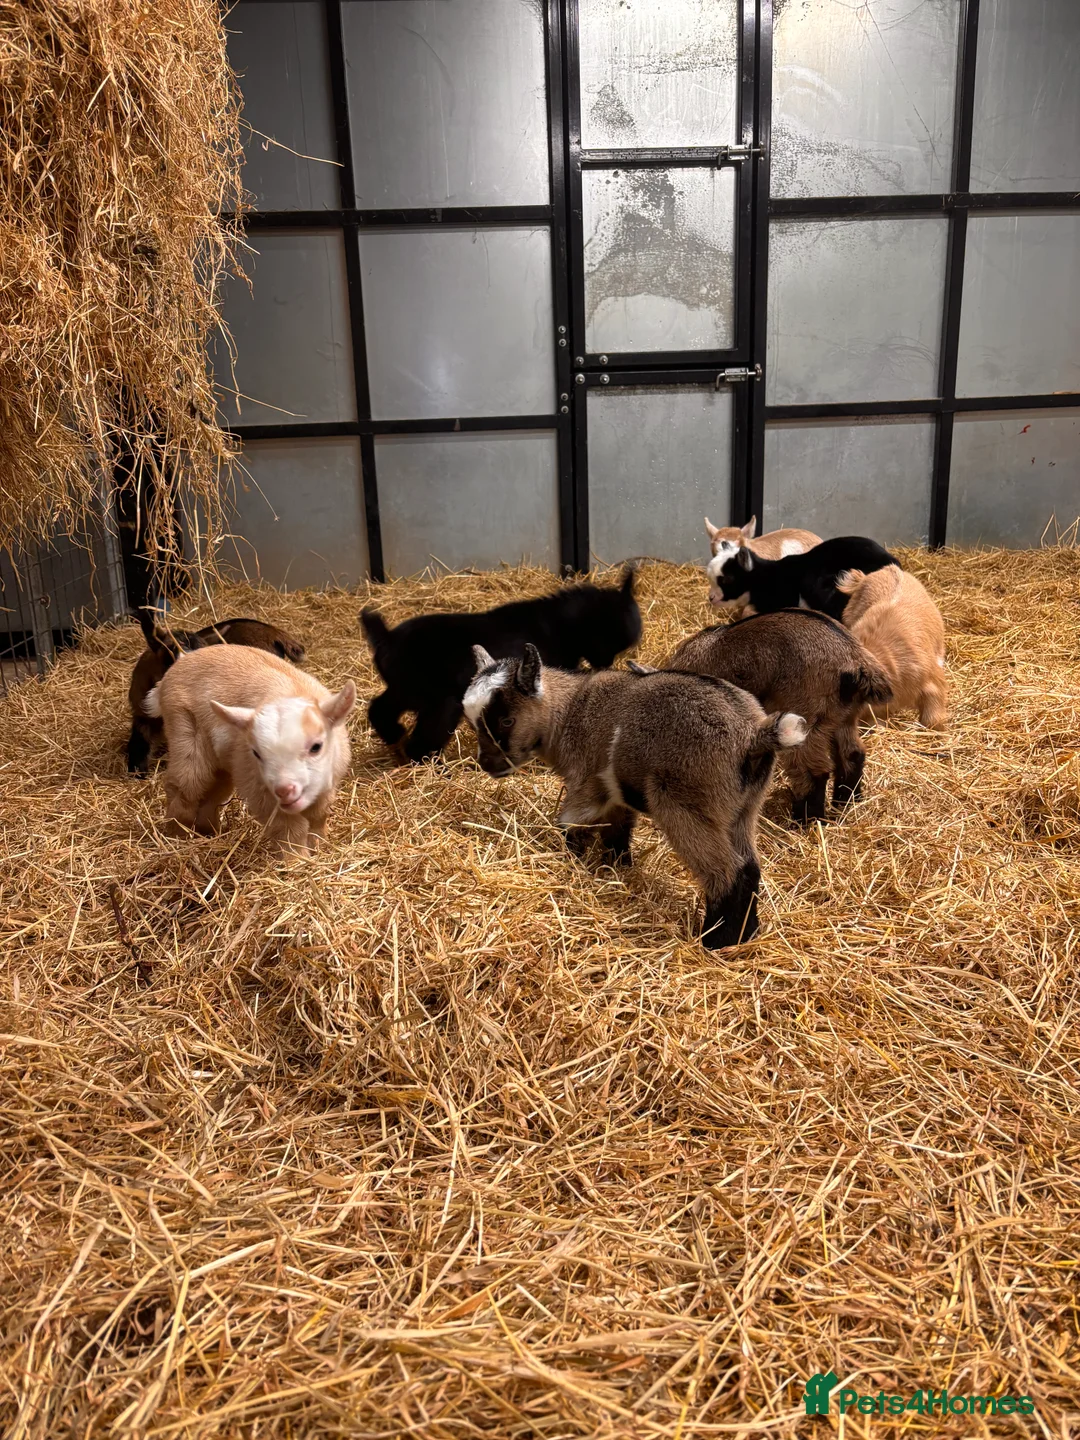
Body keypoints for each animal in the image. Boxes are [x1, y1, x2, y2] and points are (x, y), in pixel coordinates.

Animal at [144, 645, 355, 851]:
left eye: (316, 747)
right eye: (256, 754)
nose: (284, 790)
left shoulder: (327, 786)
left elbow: (319, 817)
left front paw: (318, 847)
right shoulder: (259, 790)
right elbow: (289, 829)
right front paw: (296, 859)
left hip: (223, 763)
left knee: (212, 794)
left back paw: (210, 832)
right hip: (185, 730)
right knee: (183, 788)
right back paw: (175, 837)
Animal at [360, 567, 641, 764]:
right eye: (609, 639)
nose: (606, 665)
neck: (560, 624)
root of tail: (386, 638)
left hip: (405, 693)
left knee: (379, 710)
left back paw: (394, 738)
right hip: (439, 704)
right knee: (420, 742)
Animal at [463, 642, 807, 948]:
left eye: (506, 720)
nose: (487, 763)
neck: (569, 711)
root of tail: (753, 734)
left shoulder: (586, 784)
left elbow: (571, 825)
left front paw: (574, 861)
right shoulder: (615, 794)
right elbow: (618, 832)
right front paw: (617, 869)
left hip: (685, 805)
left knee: (727, 871)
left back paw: (715, 941)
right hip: (741, 809)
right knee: (749, 867)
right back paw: (745, 934)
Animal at [654, 609, 893, 823]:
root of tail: (856, 661)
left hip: (805, 720)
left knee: (813, 772)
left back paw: (804, 821)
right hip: (841, 717)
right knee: (852, 755)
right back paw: (846, 804)